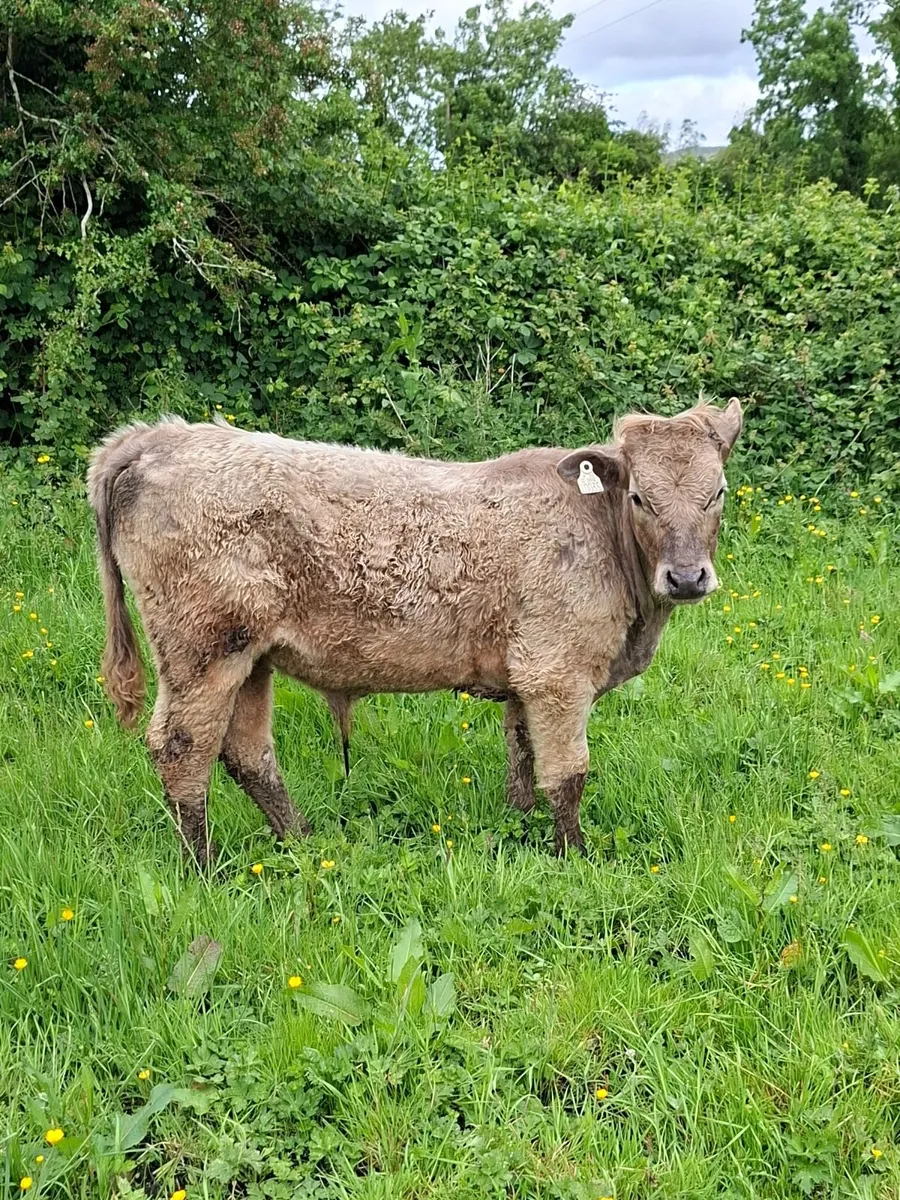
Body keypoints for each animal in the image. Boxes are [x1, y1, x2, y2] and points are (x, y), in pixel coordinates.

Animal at [88, 398, 741, 864]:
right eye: (639, 497)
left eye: (718, 493)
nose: (686, 577)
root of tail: (157, 438)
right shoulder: (559, 672)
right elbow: (567, 774)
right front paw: (575, 858)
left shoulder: (526, 674)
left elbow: (521, 752)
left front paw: (521, 825)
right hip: (201, 649)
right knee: (181, 748)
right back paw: (204, 867)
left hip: (251, 656)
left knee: (248, 754)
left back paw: (302, 841)